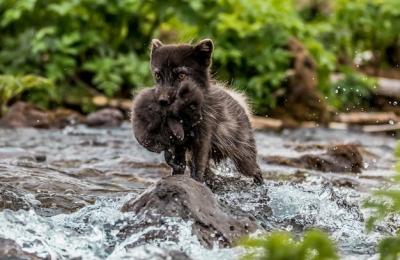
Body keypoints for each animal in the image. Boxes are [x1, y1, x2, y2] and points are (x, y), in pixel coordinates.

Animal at [150, 38, 262, 185]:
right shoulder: (179, 142)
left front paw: (196, 182)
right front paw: (177, 177)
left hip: (244, 158)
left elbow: (198, 165)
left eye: (181, 75)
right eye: (158, 75)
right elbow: (179, 164)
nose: (162, 101)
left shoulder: (202, 139)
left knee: (256, 170)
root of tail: (238, 100)